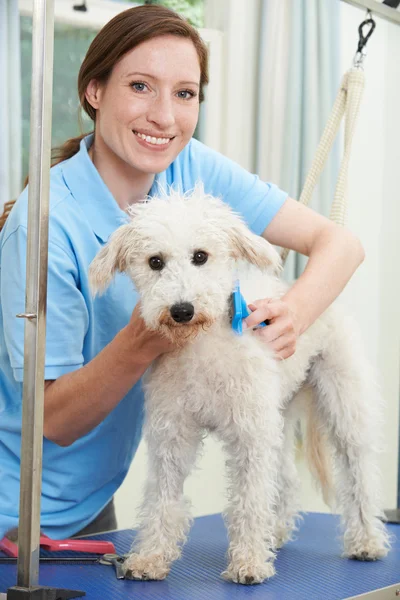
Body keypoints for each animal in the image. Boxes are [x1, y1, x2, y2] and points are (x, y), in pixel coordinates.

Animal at [89, 185, 390, 584]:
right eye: (155, 261)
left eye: (200, 256)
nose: (182, 310)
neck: (202, 347)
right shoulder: (173, 434)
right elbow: (162, 499)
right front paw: (151, 556)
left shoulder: (250, 435)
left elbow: (249, 500)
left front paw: (248, 563)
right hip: (278, 417)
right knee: (286, 478)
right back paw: (276, 531)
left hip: (343, 407)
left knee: (359, 476)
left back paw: (367, 540)